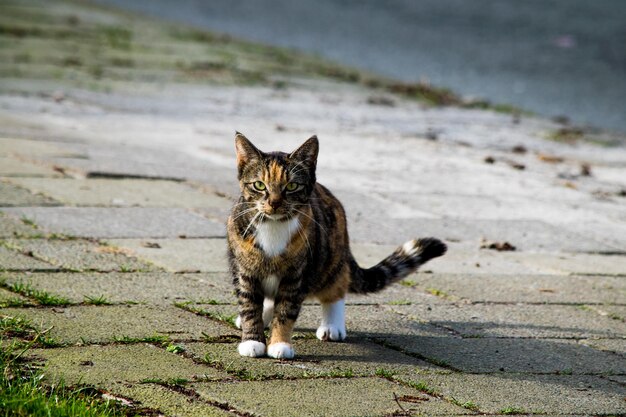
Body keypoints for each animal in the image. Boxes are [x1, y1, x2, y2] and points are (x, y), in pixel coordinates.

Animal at [224, 133, 444, 358]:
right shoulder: (244, 270)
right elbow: (249, 306)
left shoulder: (298, 274)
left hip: (330, 259)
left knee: (336, 287)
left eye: (292, 186)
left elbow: (286, 310)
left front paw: (279, 343)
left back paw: (332, 326)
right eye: (259, 185)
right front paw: (252, 340)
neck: (273, 226)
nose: (274, 203)